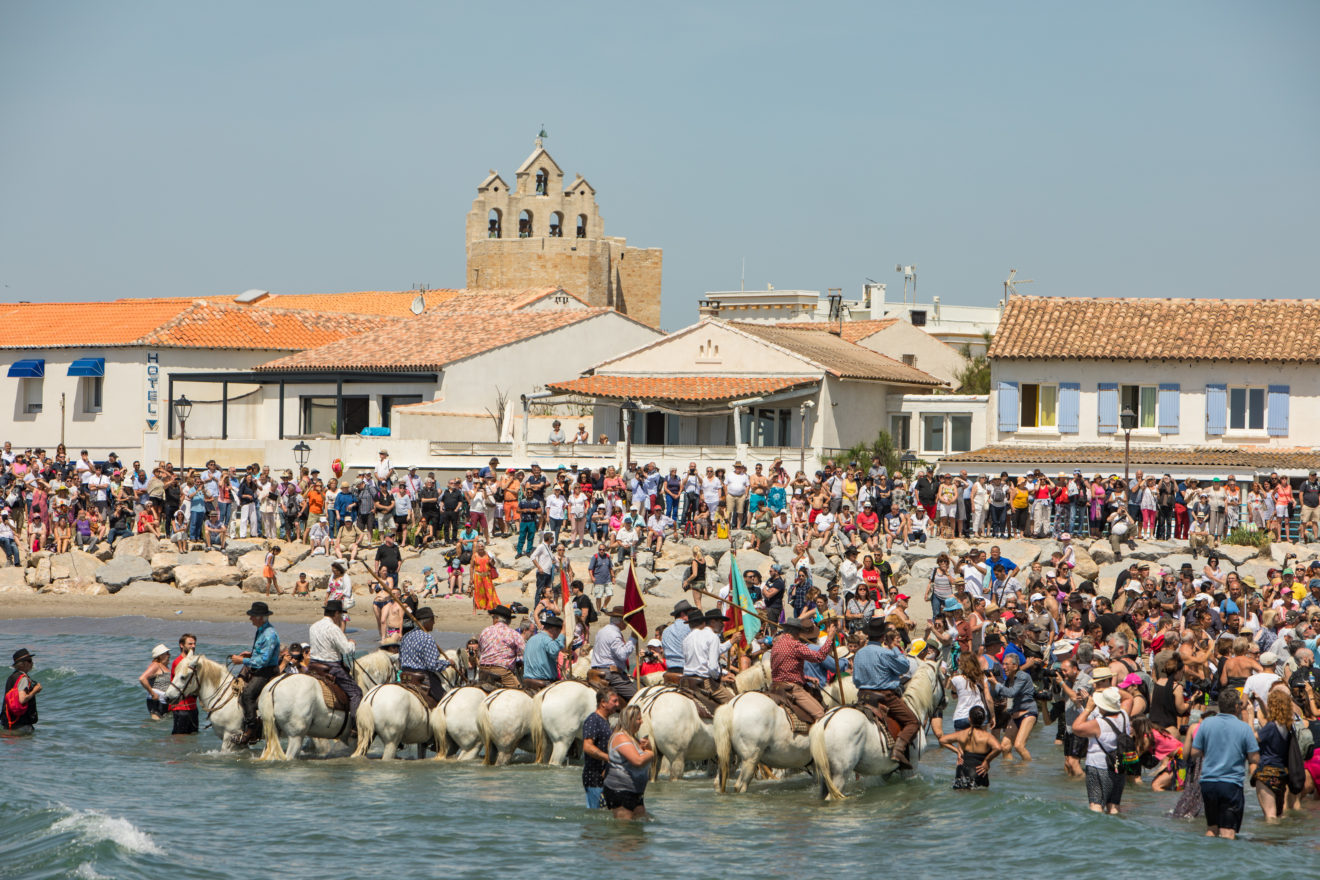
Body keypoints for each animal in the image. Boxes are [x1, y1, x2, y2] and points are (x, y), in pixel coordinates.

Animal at [807, 659, 945, 796]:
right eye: (943, 677)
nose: (946, 701)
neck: (914, 707)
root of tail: (825, 721)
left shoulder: (885, 771)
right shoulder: (911, 768)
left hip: (826, 775)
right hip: (840, 775)